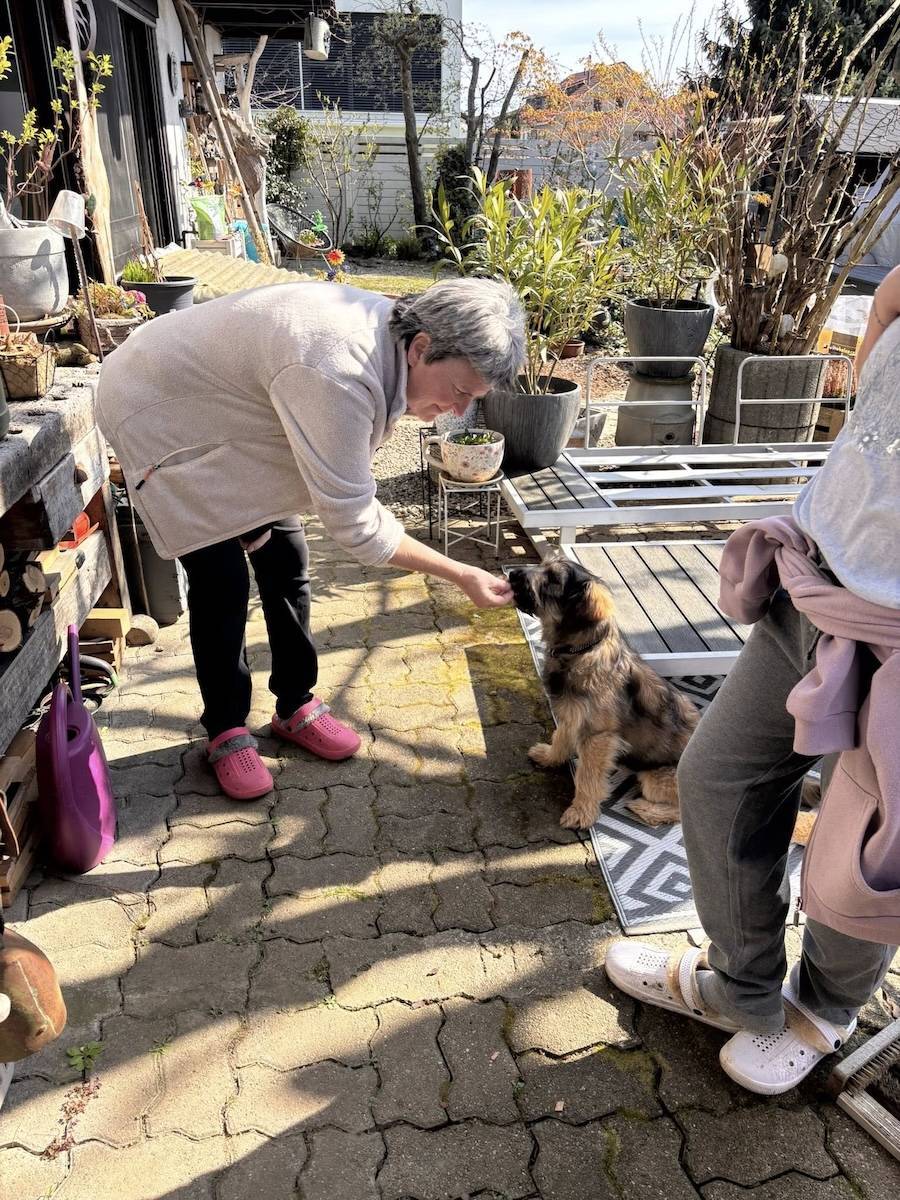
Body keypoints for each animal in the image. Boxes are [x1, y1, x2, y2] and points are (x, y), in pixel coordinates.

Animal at [508, 557, 699, 830]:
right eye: (543, 565)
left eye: (554, 579)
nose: (512, 574)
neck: (580, 651)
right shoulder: (572, 715)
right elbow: (561, 737)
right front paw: (550, 756)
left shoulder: (598, 735)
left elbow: (587, 776)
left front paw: (581, 812)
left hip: (656, 779)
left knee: (682, 814)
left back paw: (645, 809)